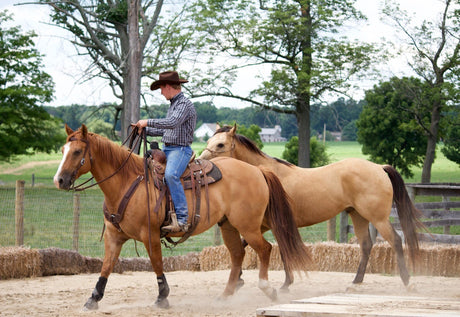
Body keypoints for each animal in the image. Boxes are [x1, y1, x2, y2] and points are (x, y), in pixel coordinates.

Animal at [53, 124, 312, 310]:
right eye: (63, 151)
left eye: (77, 151)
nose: (60, 180)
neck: (128, 182)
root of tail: (258, 170)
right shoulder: (114, 236)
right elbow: (106, 266)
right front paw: (93, 299)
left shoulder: (150, 235)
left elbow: (156, 263)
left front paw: (162, 297)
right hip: (228, 225)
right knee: (238, 254)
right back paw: (226, 295)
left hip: (248, 225)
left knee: (265, 249)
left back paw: (267, 288)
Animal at [199, 123, 426, 288]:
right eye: (210, 140)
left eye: (220, 145)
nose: (200, 162)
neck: (268, 176)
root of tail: (379, 167)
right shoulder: (261, 224)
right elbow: (247, 244)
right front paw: (239, 277)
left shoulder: (273, 224)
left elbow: (281, 251)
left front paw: (285, 284)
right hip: (358, 215)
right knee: (366, 245)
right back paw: (356, 282)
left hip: (377, 218)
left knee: (395, 240)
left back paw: (406, 281)